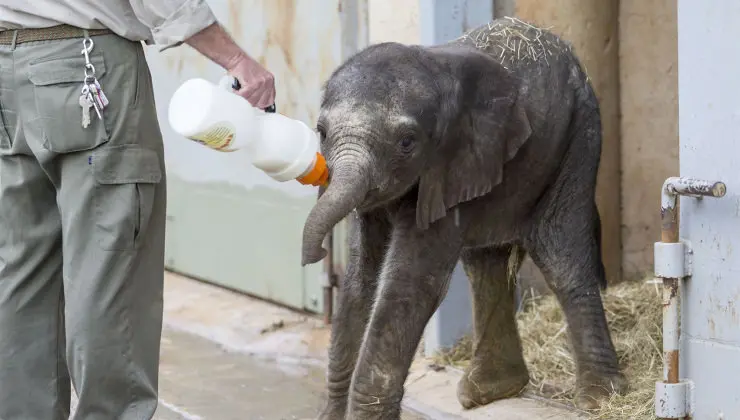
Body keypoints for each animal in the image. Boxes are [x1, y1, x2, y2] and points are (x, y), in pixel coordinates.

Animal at [301, 17, 627, 419]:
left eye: (407, 142)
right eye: (322, 133)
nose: (313, 255)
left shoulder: (450, 162)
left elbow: (410, 284)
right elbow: (362, 278)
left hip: (579, 135)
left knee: (562, 256)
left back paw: (600, 399)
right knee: (485, 264)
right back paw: (491, 390)